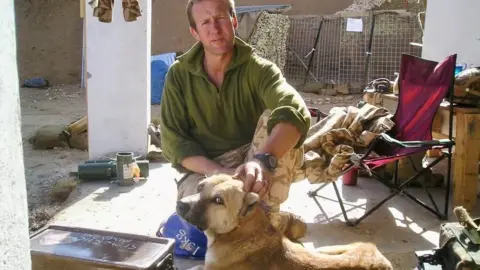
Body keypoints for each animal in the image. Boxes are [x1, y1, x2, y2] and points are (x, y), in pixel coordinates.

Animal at [176, 174, 394, 268]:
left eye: (218, 200)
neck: (239, 232)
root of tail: (380, 258)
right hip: (329, 249)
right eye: (200, 187)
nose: (180, 205)